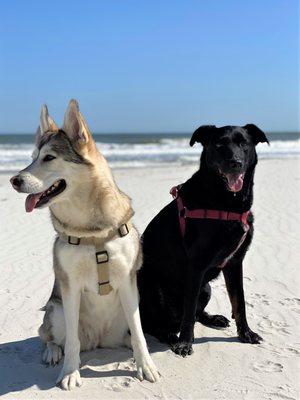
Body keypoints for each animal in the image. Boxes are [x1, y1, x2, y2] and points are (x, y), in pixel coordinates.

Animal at [9, 100, 159, 390]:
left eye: (49, 158)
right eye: (32, 157)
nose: (14, 180)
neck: (92, 231)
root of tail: (98, 340)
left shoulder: (128, 282)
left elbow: (139, 334)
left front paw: (146, 365)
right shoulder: (70, 287)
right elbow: (72, 344)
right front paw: (70, 373)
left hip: (126, 309)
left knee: (129, 334)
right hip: (57, 310)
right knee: (52, 337)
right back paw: (53, 352)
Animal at [137, 124, 268, 356]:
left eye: (244, 143)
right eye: (219, 144)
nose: (235, 163)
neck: (226, 204)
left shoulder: (235, 263)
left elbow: (239, 302)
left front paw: (246, 334)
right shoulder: (196, 267)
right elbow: (189, 311)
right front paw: (185, 342)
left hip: (206, 288)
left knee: (196, 313)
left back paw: (213, 319)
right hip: (154, 289)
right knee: (153, 325)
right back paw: (171, 336)